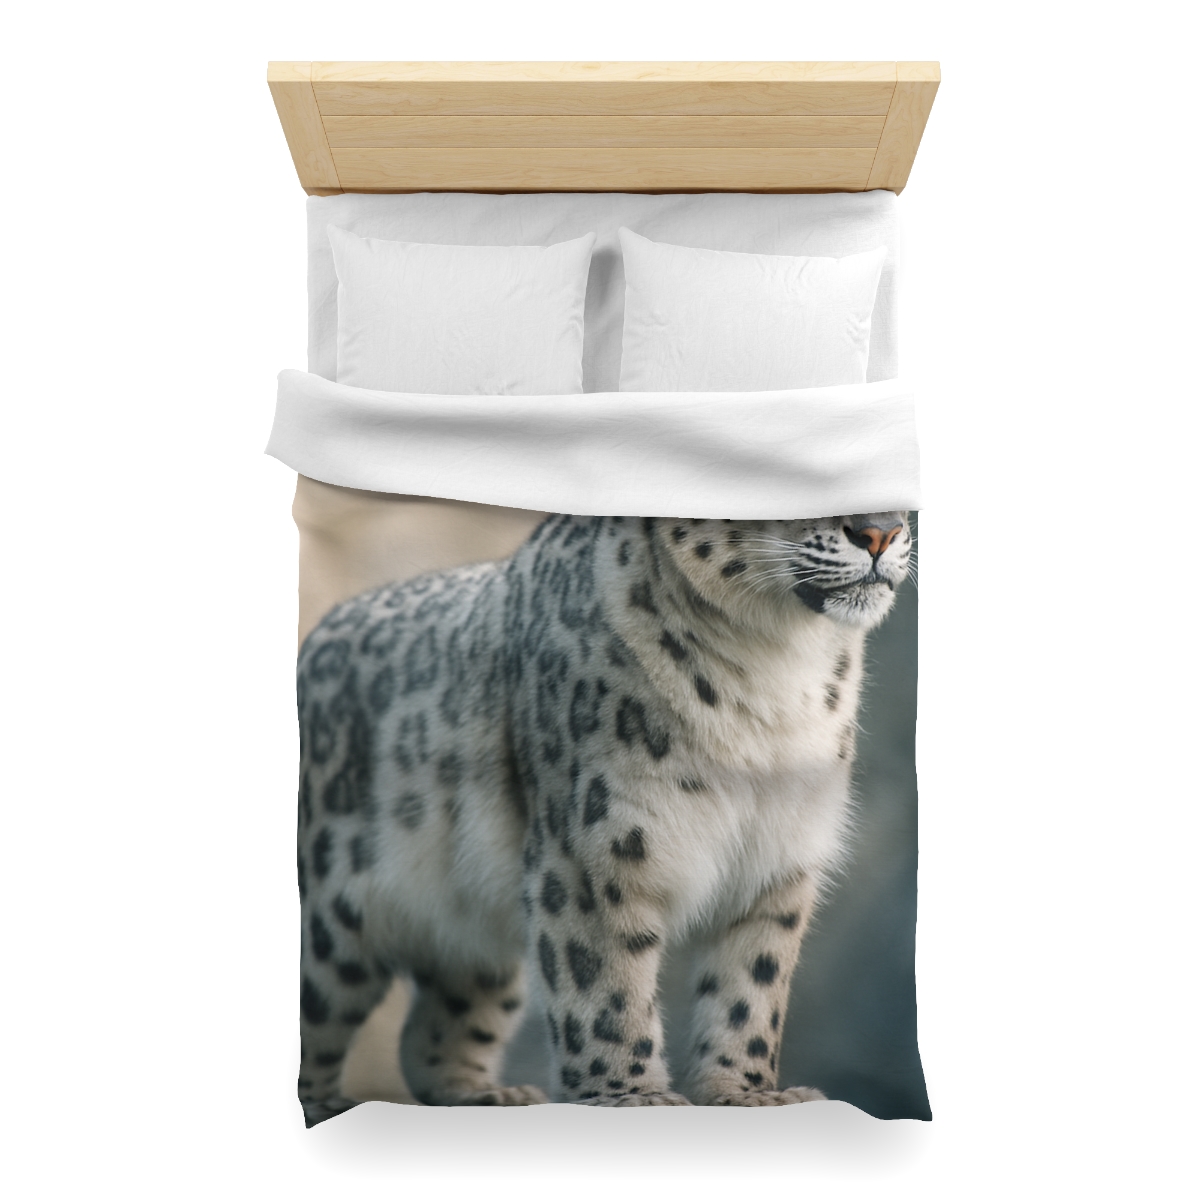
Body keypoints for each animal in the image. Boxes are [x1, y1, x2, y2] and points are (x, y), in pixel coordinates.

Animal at [294, 511, 911, 1124]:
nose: (880, 533)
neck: (777, 671)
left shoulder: (778, 859)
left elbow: (751, 987)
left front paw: (747, 1094)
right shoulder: (595, 850)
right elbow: (606, 985)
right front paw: (631, 1096)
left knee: (436, 1027)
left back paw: (489, 1095)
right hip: (331, 921)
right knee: (314, 1010)